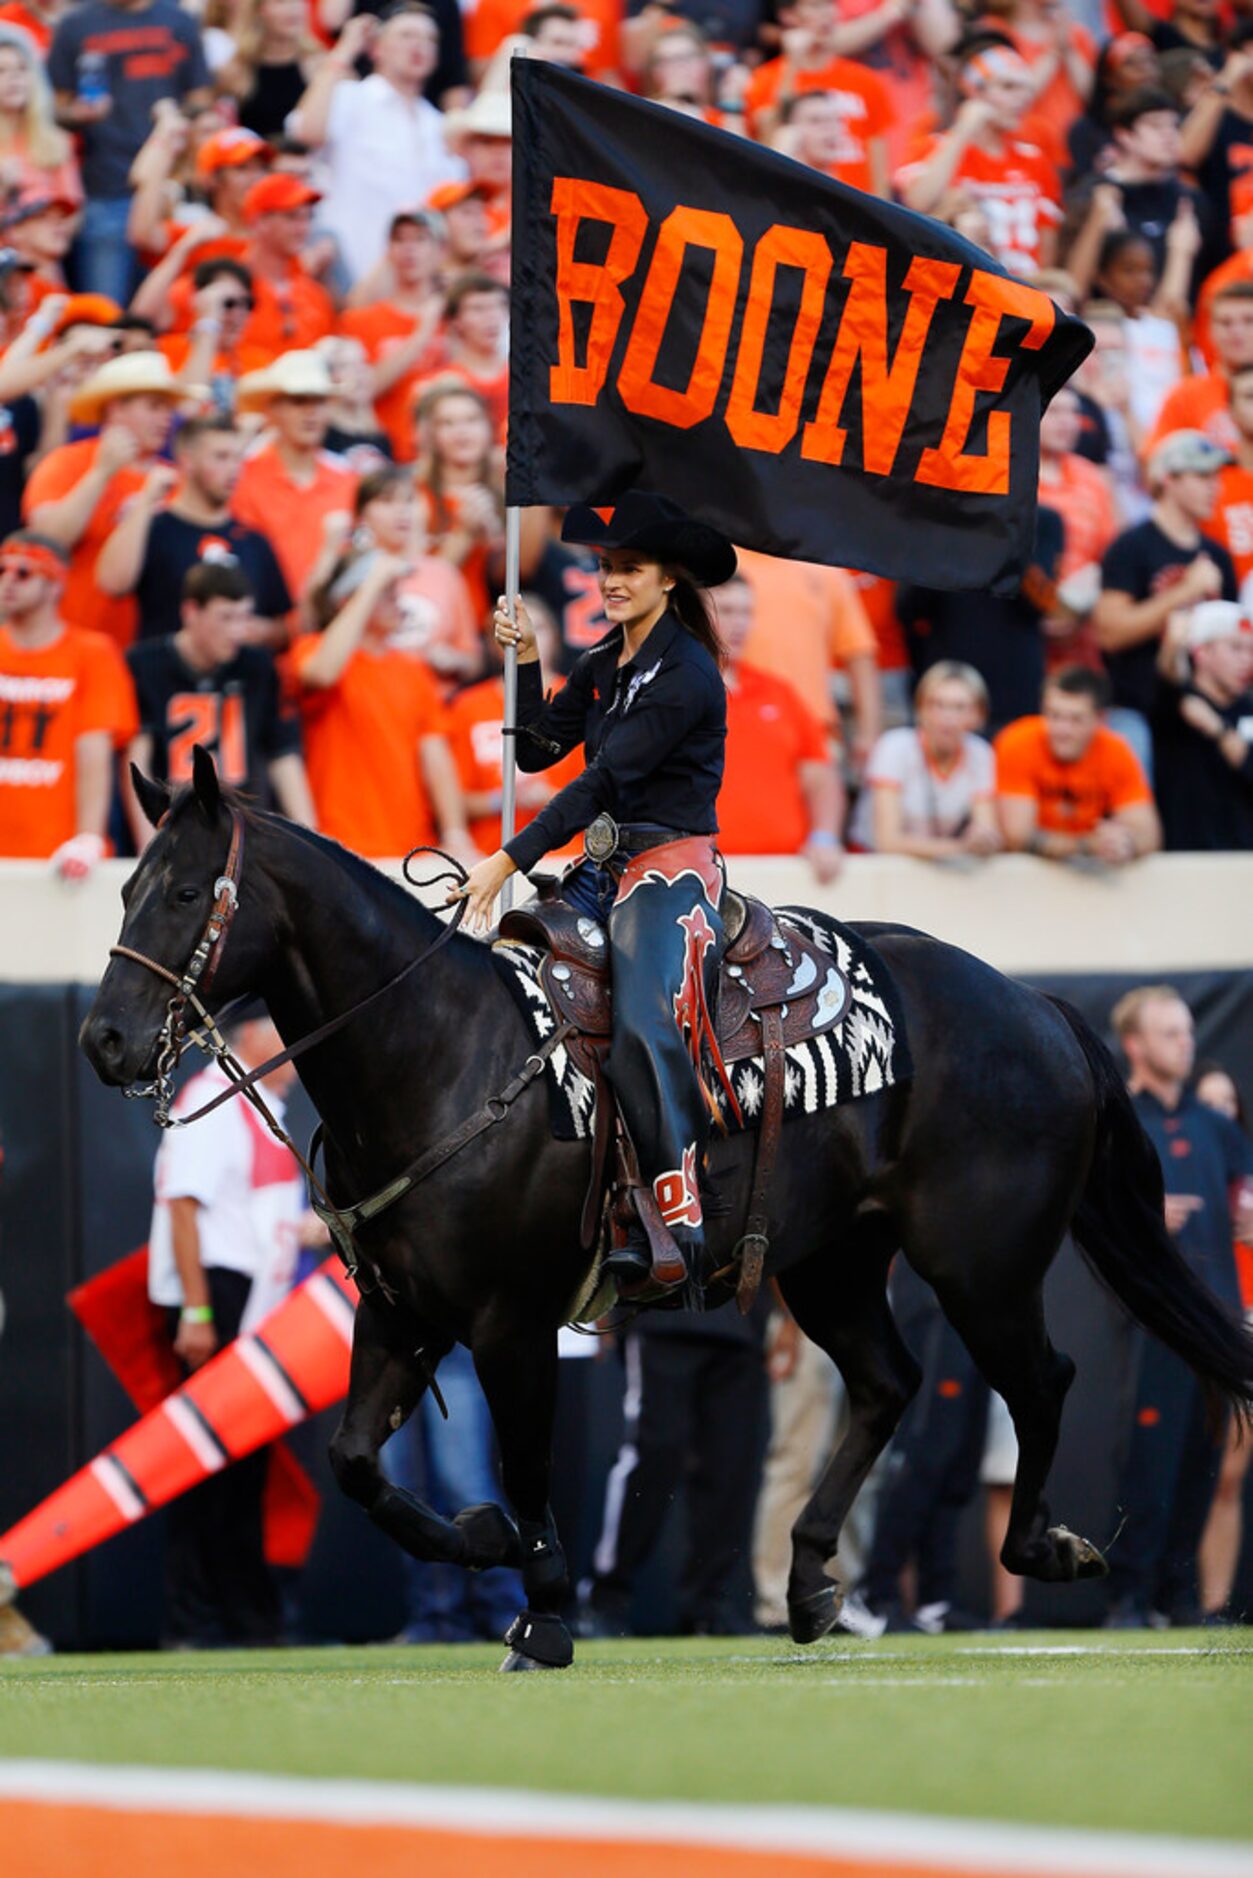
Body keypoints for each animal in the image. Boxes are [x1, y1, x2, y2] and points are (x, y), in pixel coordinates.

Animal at [80, 754, 1253, 1667]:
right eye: (127, 885)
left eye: (184, 895)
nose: (105, 1042)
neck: (444, 1050)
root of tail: (1037, 1005)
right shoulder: (402, 1314)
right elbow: (357, 1463)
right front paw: (486, 1542)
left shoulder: (509, 1323)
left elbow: (524, 1462)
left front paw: (544, 1613)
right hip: (832, 1262)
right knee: (888, 1383)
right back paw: (809, 1580)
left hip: (981, 1262)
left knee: (1039, 1380)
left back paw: (1040, 1548)